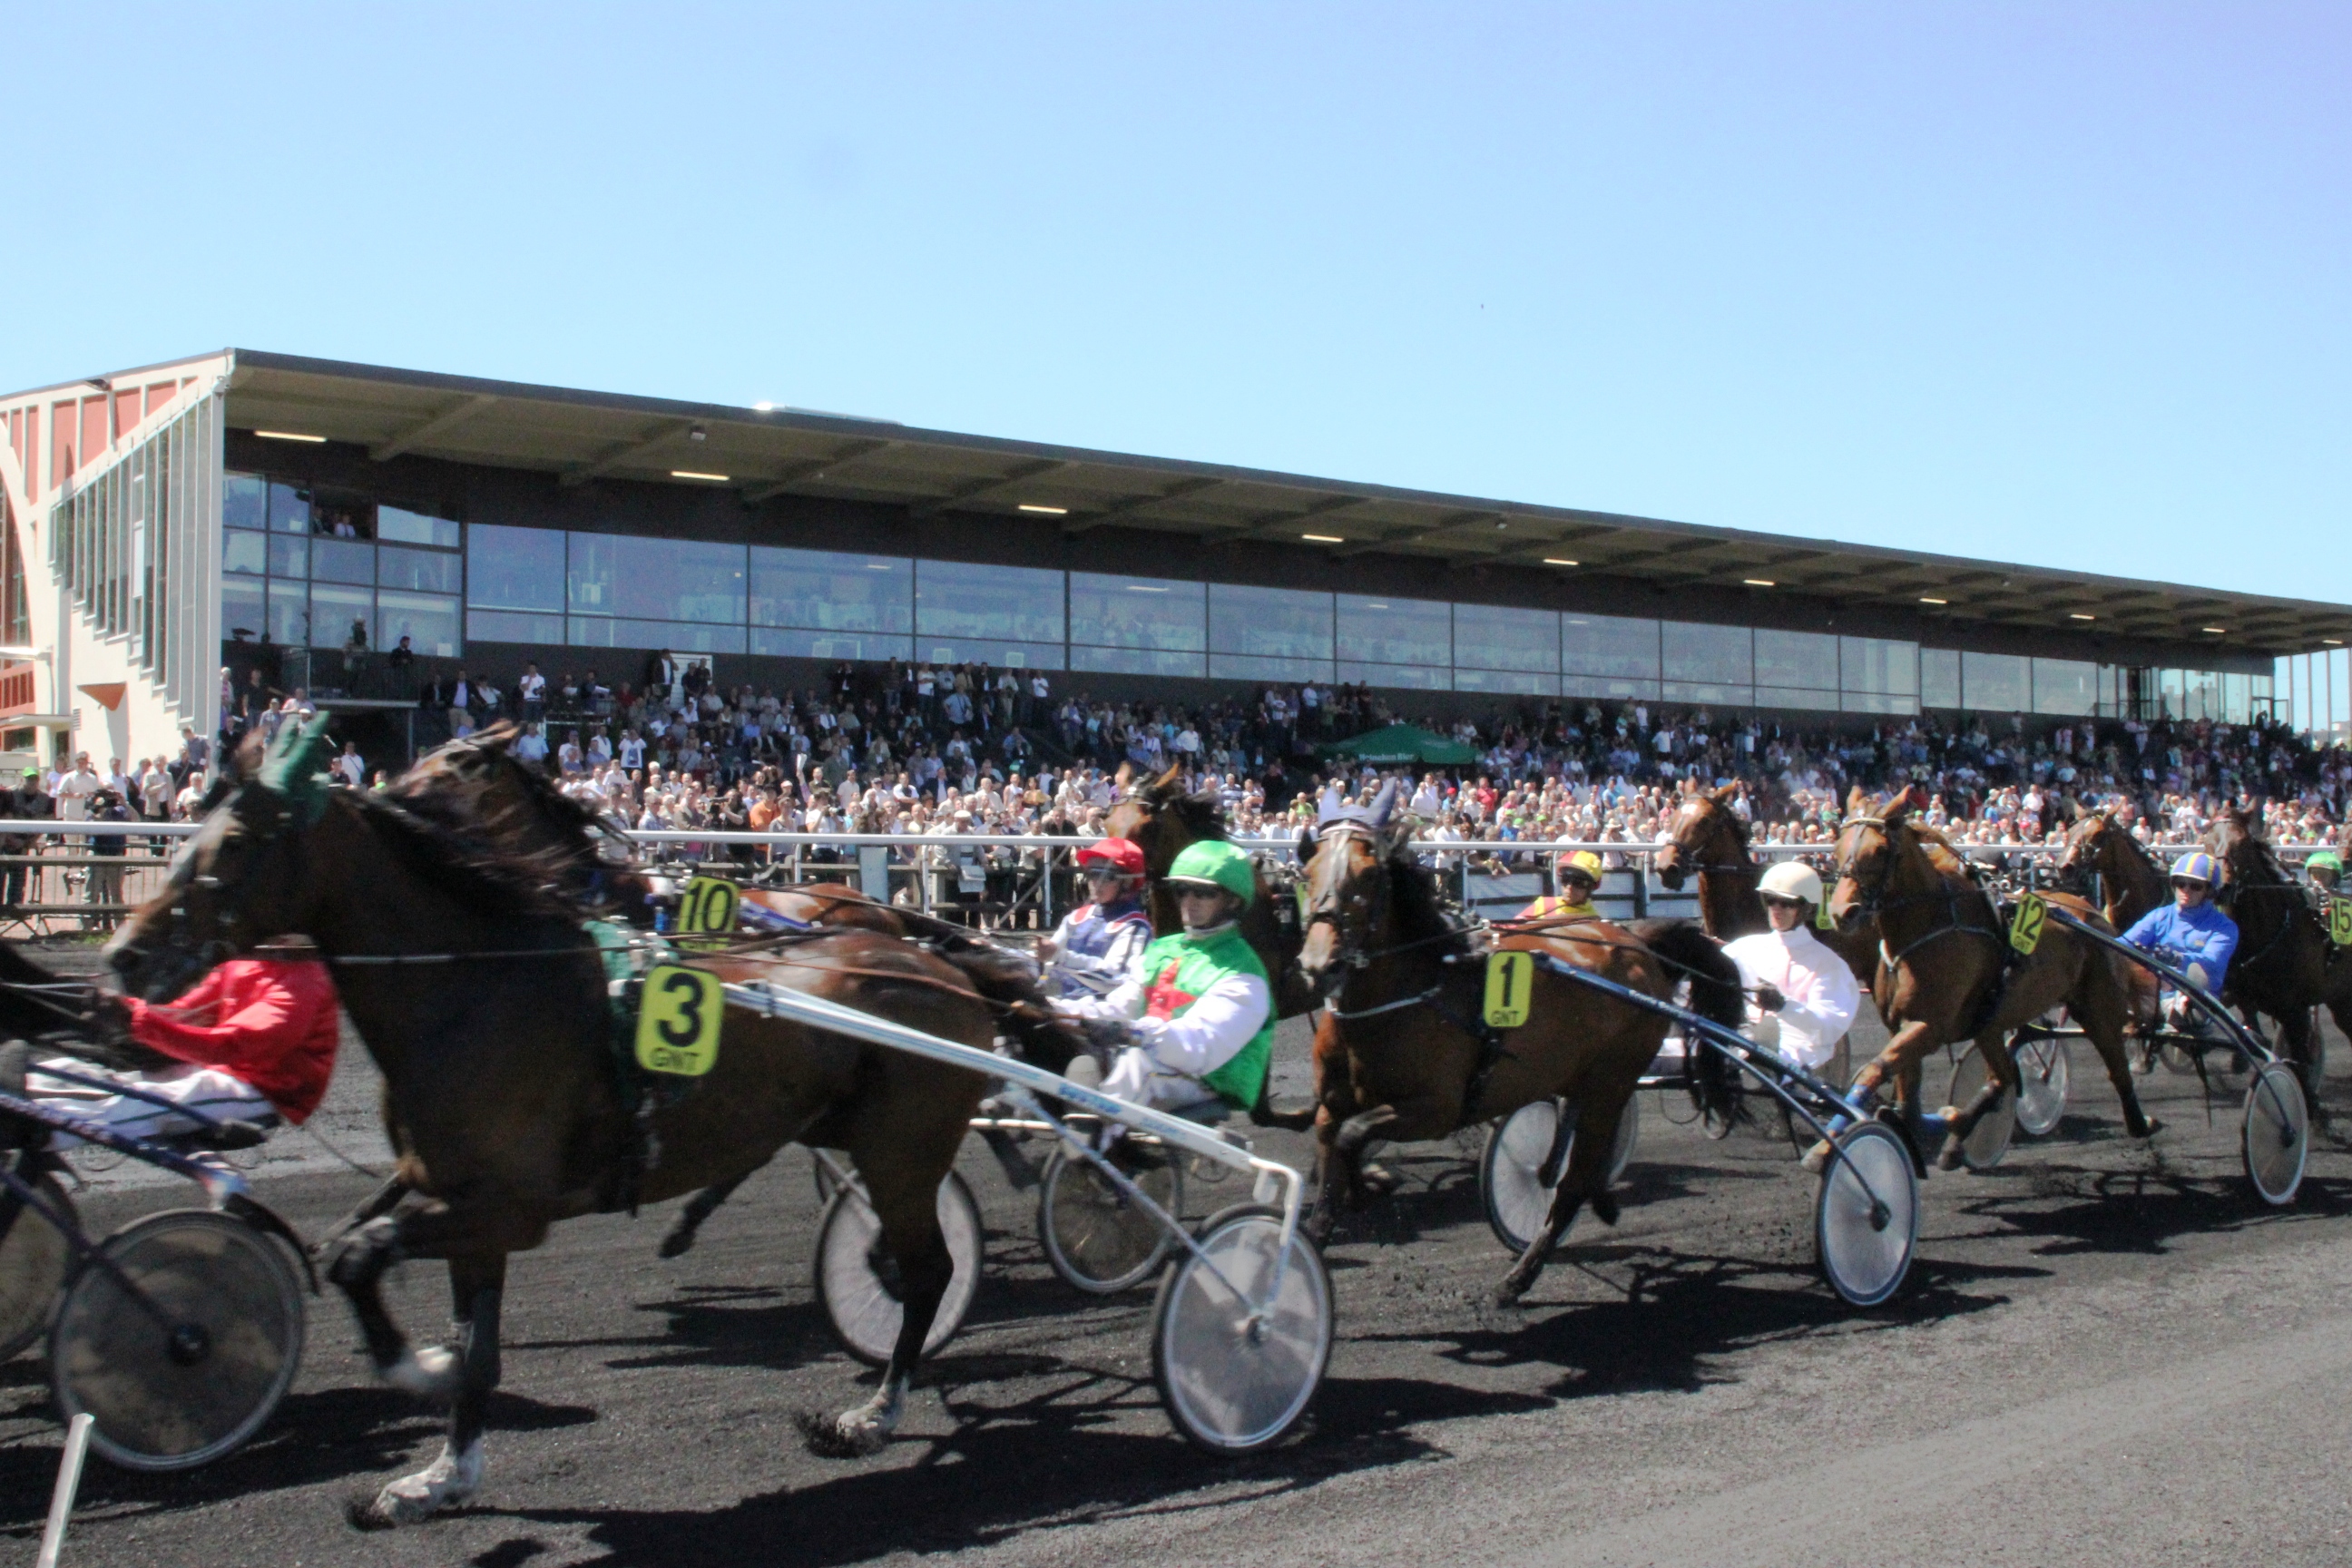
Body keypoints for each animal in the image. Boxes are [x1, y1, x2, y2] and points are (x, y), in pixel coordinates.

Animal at [105, 723, 1049, 1533]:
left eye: (234, 842)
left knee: (927, 1272)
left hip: (901, 1148)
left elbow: (357, 1256)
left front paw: (413, 1368)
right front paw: (438, 1477)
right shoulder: (462, 1201)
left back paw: (872, 1412)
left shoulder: (510, 1208)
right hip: (842, 1124)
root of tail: (932, 960)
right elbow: (459, 1336)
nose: (124, 956)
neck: (479, 986)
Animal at [1289, 785, 1749, 1316]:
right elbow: (1329, 1171)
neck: (1406, 993)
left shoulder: (1435, 1109)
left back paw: (1517, 1279)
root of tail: (1638, 943)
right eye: (1308, 870)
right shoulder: (1331, 1104)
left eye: (1367, 875)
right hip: (1577, 1075)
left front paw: (1370, 1185)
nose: (1318, 965)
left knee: (1571, 1183)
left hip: (1611, 1081)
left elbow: (1353, 1138)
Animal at [1825, 789, 2154, 1171]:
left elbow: (1874, 1070)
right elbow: (1907, 1100)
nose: (1842, 912)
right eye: (1837, 845)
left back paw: (2140, 1122)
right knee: (2003, 1077)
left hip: (2098, 1008)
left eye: (1878, 850)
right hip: (1990, 1024)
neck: (1926, 928)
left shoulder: (1929, 1026)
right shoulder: (1900, 1025)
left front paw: (1828, 1148)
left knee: (2116, 1066)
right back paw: (1956, 1142)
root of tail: (2093, 914)